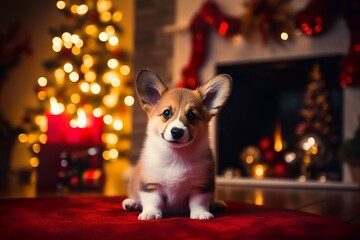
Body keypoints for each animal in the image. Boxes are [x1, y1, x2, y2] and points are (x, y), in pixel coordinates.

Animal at [122, 69, 232, 219]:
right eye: (167, 113)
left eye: (192, 116)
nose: (177, 131)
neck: (176, 154)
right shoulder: (151, 184)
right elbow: (153, 201)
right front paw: (150, 213)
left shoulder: (201, 186)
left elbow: (199, 202)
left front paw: (201, 214)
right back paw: (132, 203)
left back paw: (216, 204)